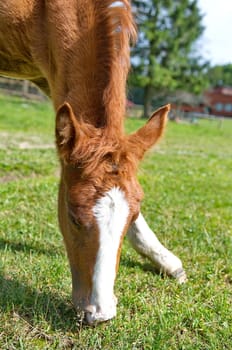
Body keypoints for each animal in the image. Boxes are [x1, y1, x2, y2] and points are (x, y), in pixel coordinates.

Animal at [0, 0, 186, 324]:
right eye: (73, 216)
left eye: (133, 216)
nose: (99, 313)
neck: (44, 10)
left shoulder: (54, 76)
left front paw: (166, 260)